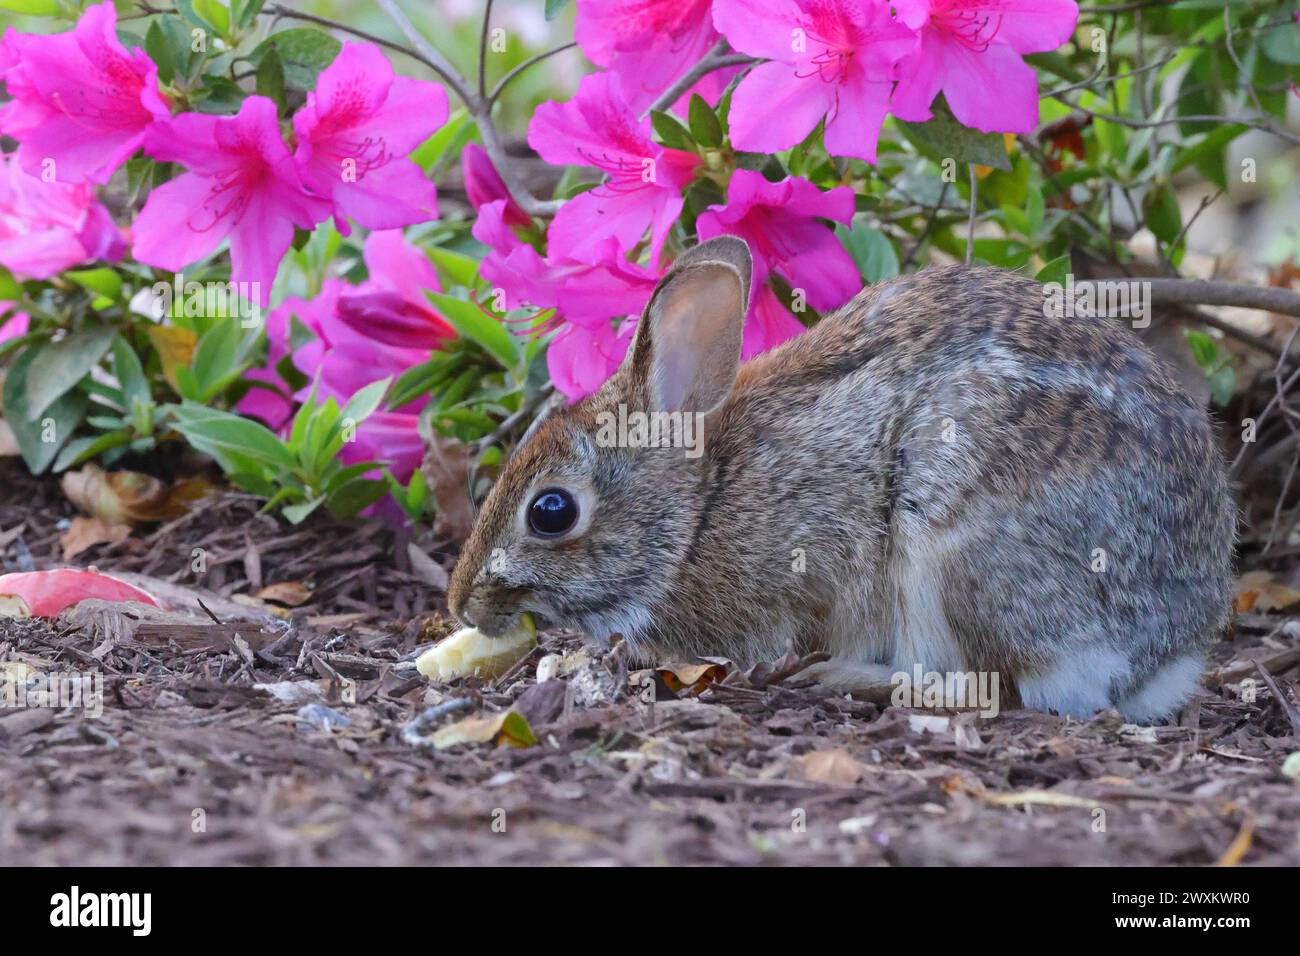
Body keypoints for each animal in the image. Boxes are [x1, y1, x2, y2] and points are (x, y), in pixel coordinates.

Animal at [449, 235, 1237, 723]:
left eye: (551, 511)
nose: (463, 604)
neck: (698, 507)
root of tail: (1162, 652)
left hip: (958, 545)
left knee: (996, 685)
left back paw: (844, 678)